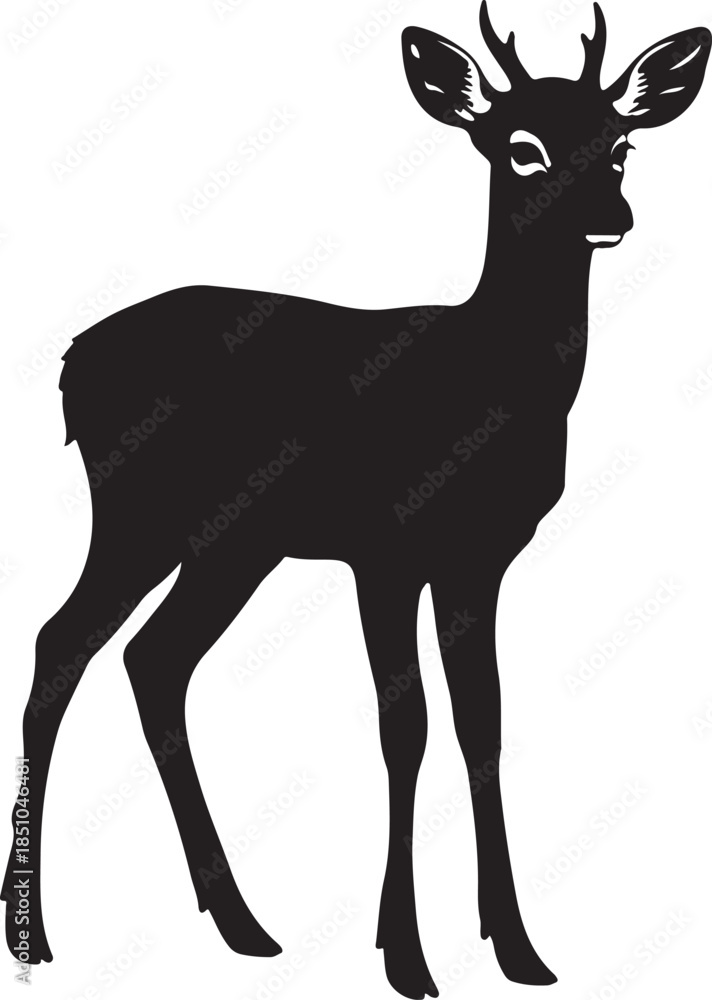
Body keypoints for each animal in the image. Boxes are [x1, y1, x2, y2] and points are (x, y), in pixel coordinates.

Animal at [3, 3, 709, 997]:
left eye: (620, 144)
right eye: (521, 147)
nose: (611, 217)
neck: (490, 387)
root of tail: (71, 361)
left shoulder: (478, 561)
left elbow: (483, 723)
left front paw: (519, 948)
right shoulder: (386, 549)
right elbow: (403, 727)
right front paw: (406, 956)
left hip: (231, 544)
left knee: (151, 659)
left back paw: (241, 923)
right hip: (140, 512)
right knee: (61, 642)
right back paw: (36, 935)